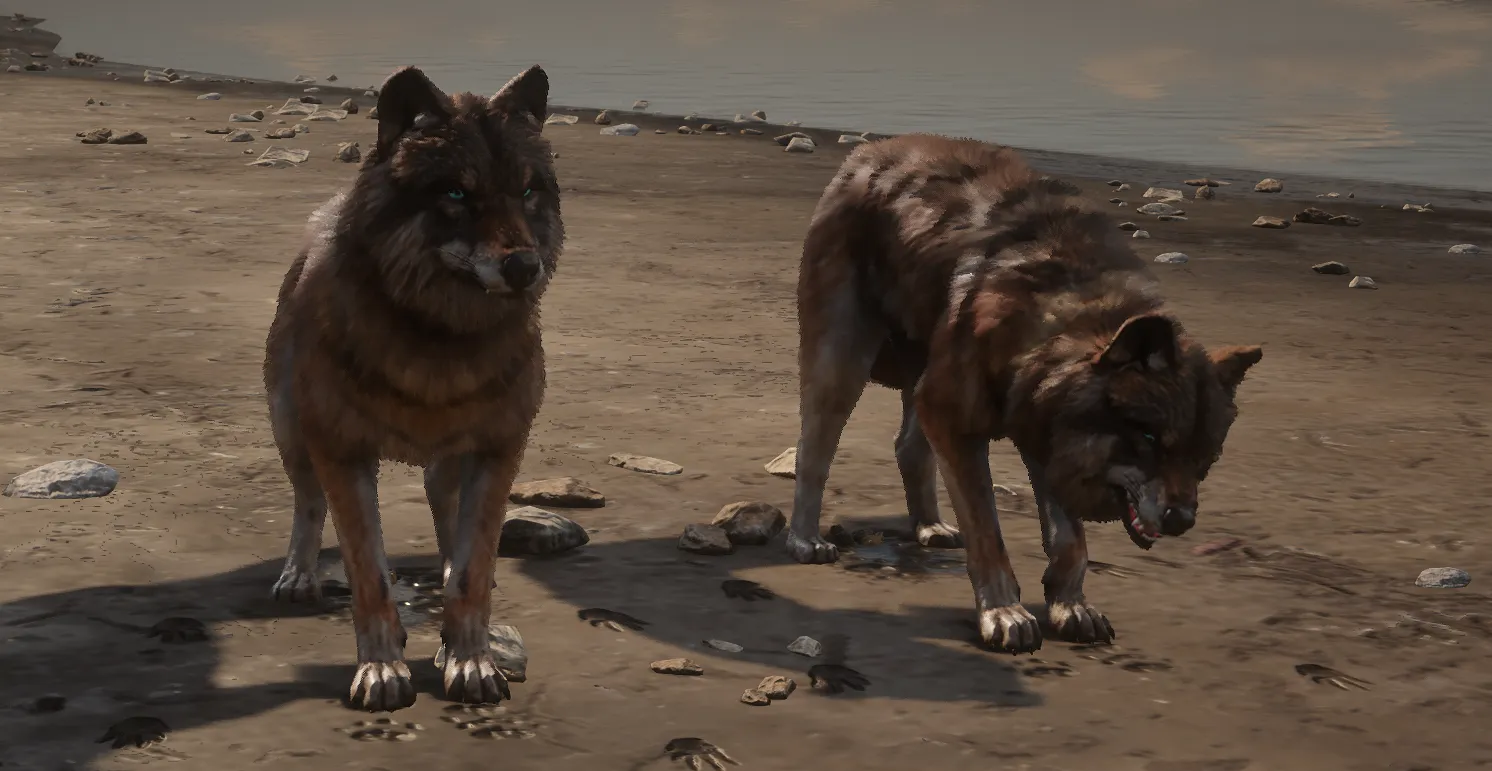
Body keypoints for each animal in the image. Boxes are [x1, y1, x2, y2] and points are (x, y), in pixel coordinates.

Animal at [262, 64, 562, 711]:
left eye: (529, 192)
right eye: (456, 195)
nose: (525, 268)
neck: (439, 339)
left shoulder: (499, 451)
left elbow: (472, 572)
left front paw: (470, 659)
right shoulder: (343, 454)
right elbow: (368, 574)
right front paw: (381, 669)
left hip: (451, 467)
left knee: (451, 525)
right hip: (291, 432)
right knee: (307, 503)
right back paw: (299, 575)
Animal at [787, 134, 1261, 653]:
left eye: (1205, 458)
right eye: (1151, 439)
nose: (1181, 521)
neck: (1064, 319)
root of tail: (874, 149)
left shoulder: (1041, 436)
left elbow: (1071, 540)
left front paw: (1070, 604)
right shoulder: (958, 422)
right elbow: (987, 533)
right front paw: (1003, 612)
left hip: (922, 379)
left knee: (908, 447)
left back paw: (929, 525)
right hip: (843, 365)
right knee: (814, 452)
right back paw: (805, 540)